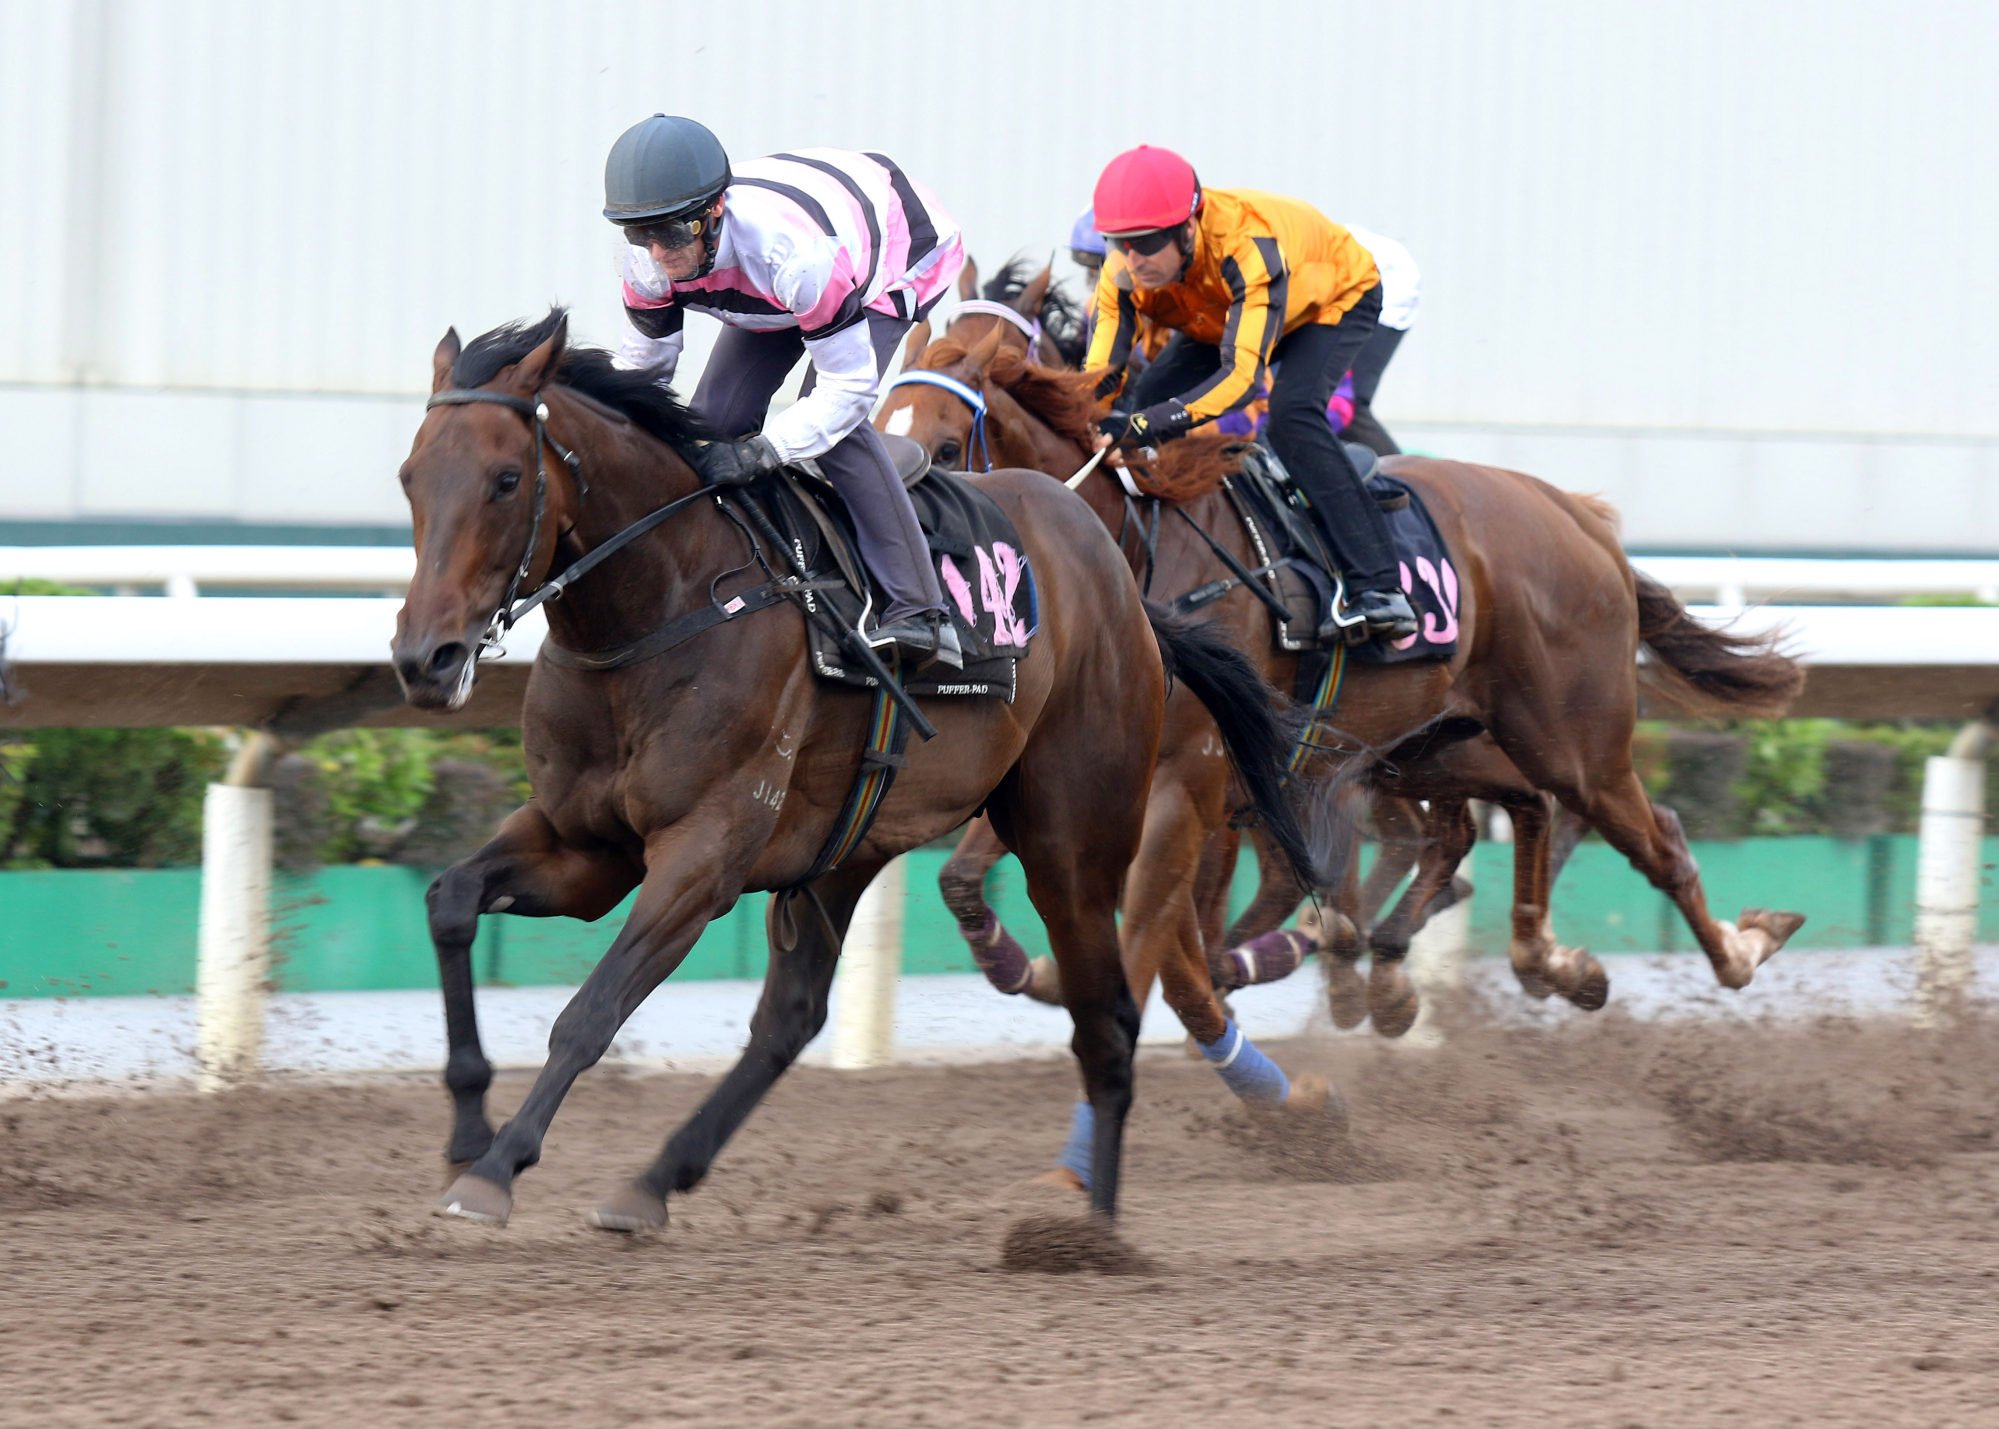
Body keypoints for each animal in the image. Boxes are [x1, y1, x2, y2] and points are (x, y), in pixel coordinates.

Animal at [395, 313, 1319, 1231]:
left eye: (506, 479)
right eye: (410, 476)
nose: (423, 658)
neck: (663, 604)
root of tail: (1124, 585)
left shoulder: (703, 855)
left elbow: (592, 1011)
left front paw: (497, 1167)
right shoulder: (584, 843)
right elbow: (450, 902)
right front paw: (468, 1129)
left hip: (1075, 840)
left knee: (1109, 1018)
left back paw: (1093, 1225)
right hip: (851, 839)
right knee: (792, 1016)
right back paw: (654, 1180)